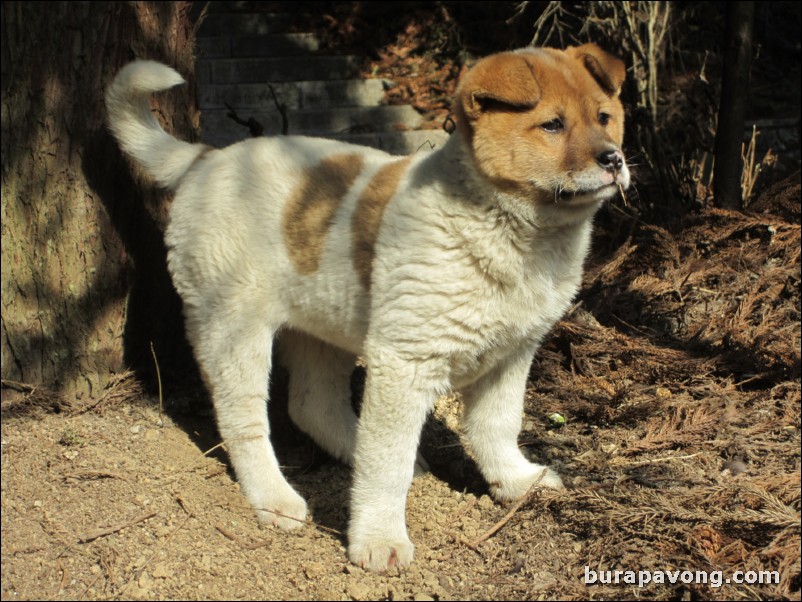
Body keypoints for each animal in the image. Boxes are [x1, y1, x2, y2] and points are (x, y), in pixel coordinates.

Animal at [106, 44, 628, 568]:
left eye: (604, 117)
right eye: (552, 125)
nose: (614, 159)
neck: (512, 229)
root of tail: (207, 159)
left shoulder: (513, 353)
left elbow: (497, 425)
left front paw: (518, 482)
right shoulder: (406, 363)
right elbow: (386, 463)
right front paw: (378, 540)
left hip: (321, 326)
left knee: (311, 406)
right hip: (234, 329)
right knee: (245, 421)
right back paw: (275, 499)